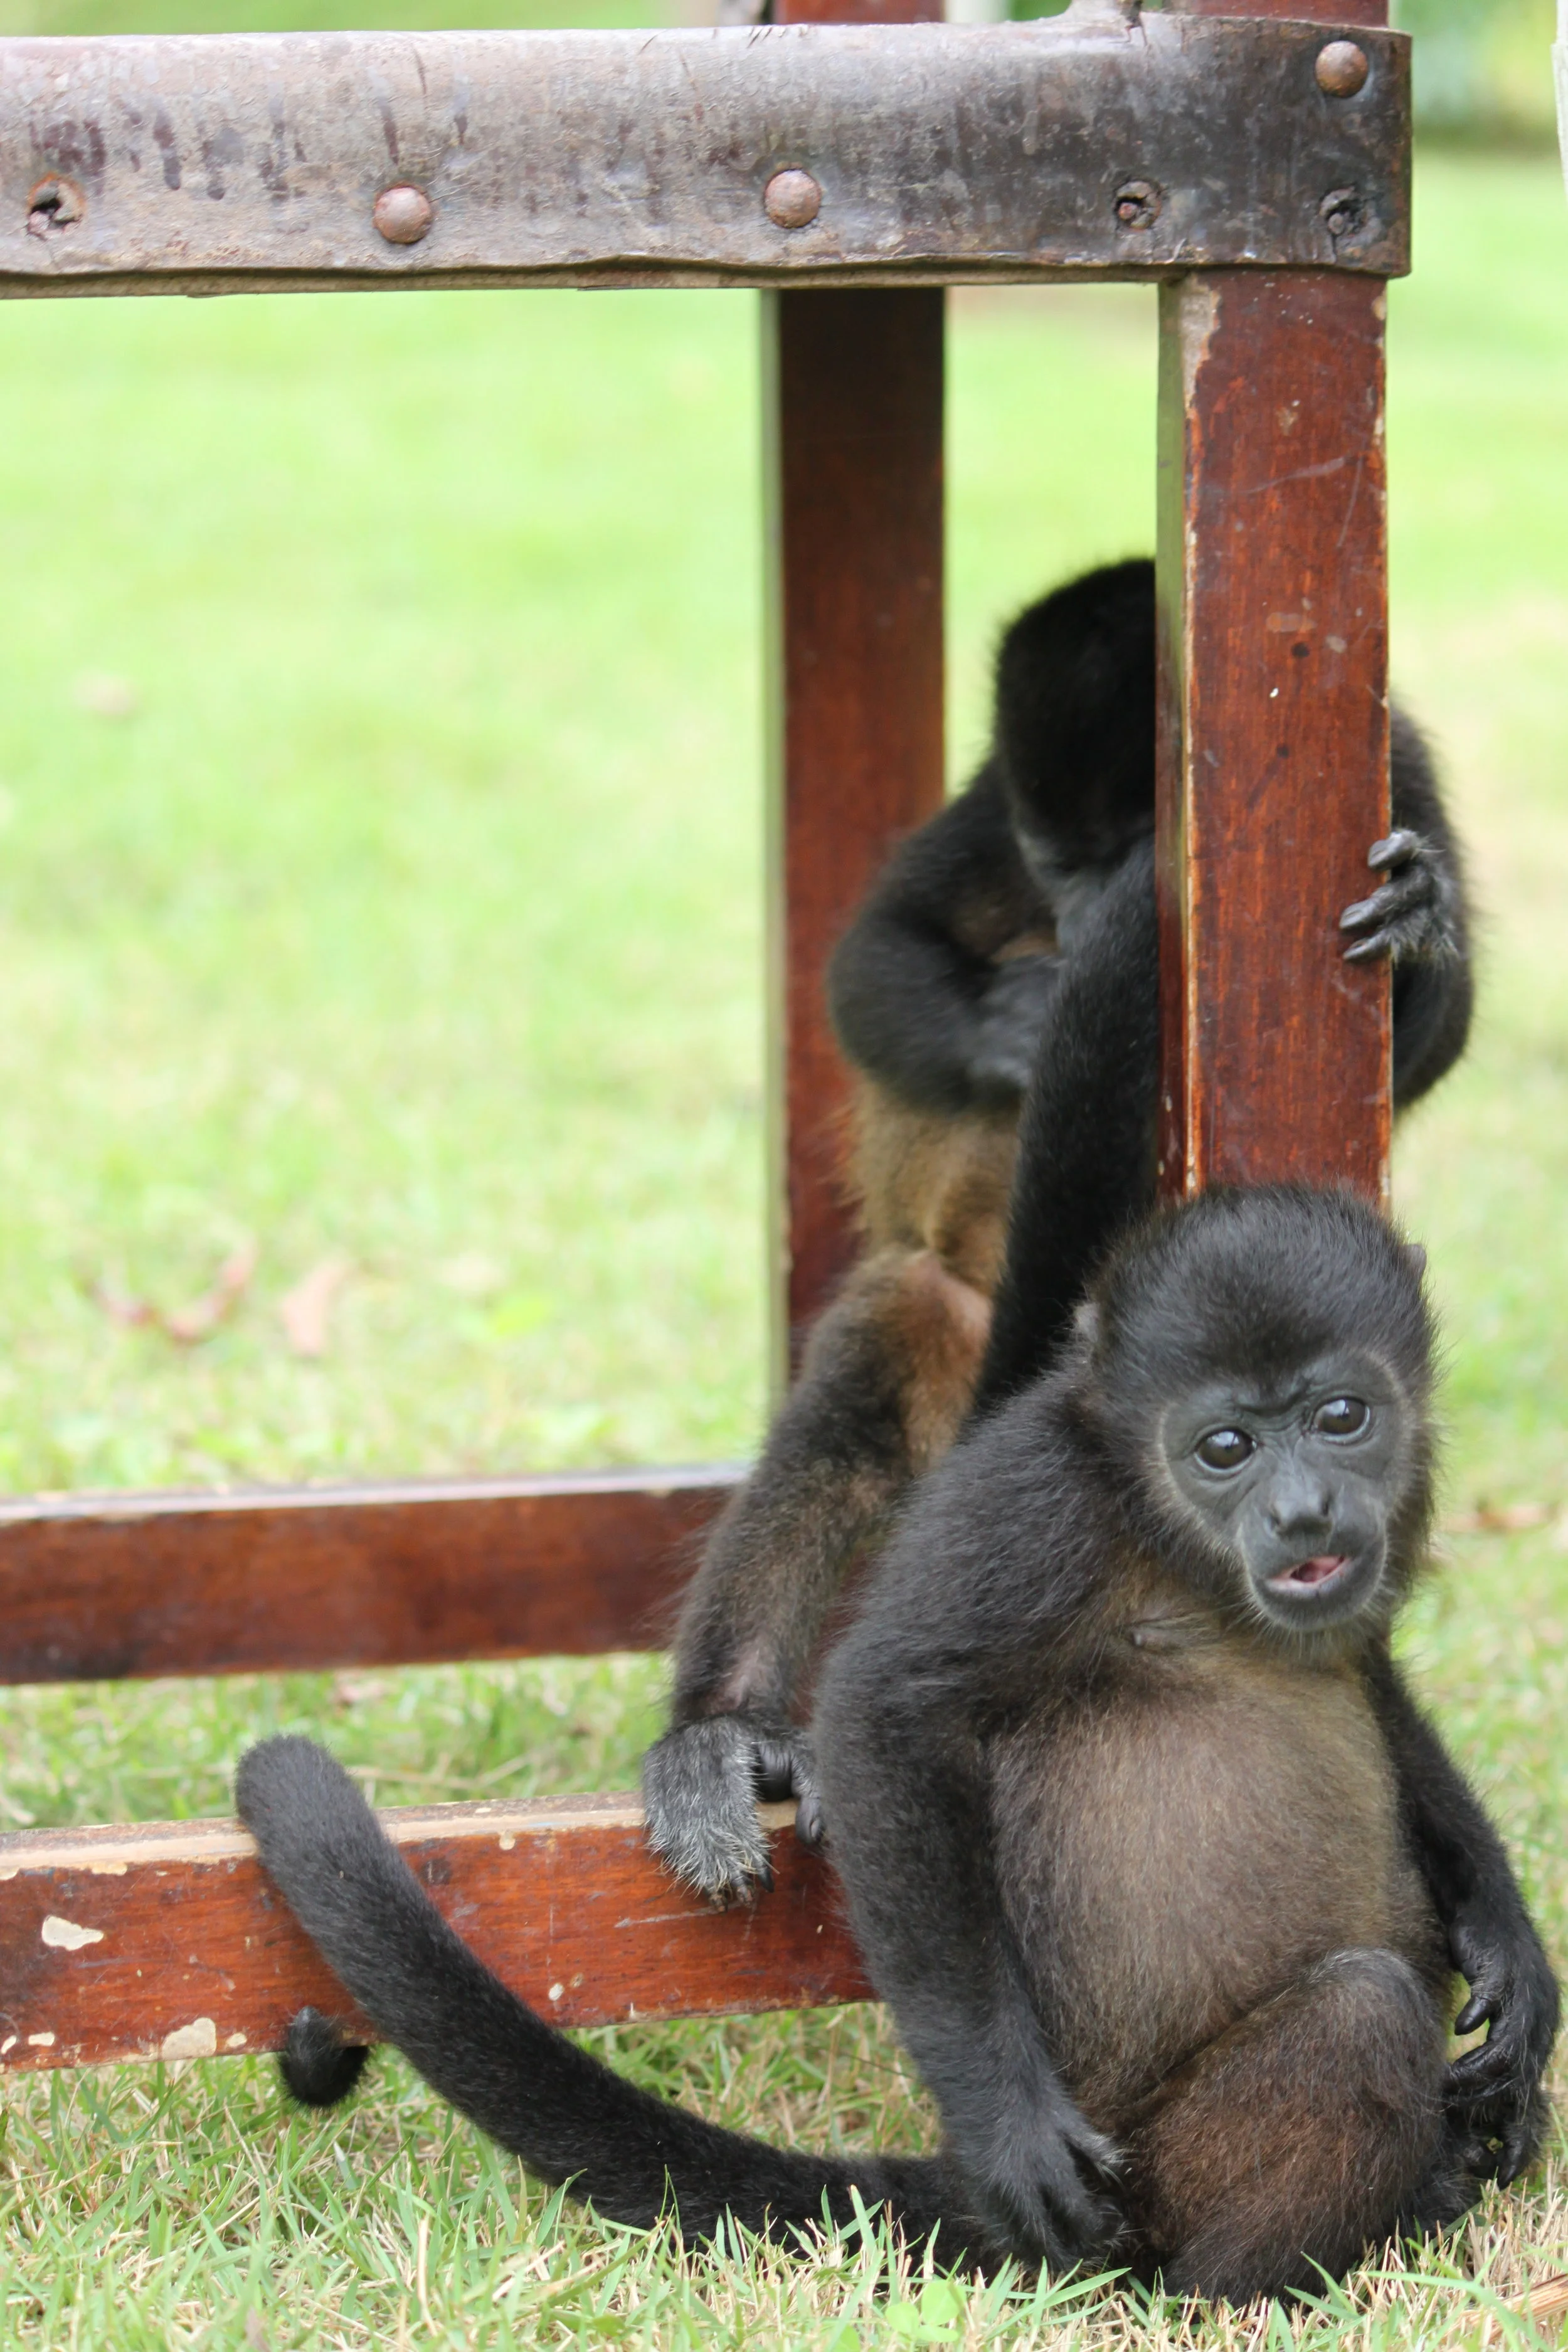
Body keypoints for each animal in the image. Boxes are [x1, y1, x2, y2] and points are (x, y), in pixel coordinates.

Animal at [233, 848, 1550, 2302]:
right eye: (1222, 1447)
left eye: (1340, 1417)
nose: (1303, 1507)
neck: (1169, 1538)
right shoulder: (1032, 1507)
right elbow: (883, 1712)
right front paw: (1011, 2123)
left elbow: (1368, 1668)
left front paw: (1512, 1946)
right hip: (1171, 2164)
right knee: (1351, 2020)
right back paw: (1275, 2259)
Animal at [642, 557, 1473, 1905]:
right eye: (1054, 859)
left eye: (1132, 853)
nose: (1084, 924)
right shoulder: (990, 806)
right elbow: (867, 961)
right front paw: (1015, 1027)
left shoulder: (1397, 765)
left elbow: (1436, 1037)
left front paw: (1417, 918)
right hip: (949, 1310)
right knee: (851, 1428)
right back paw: (723, 1730)